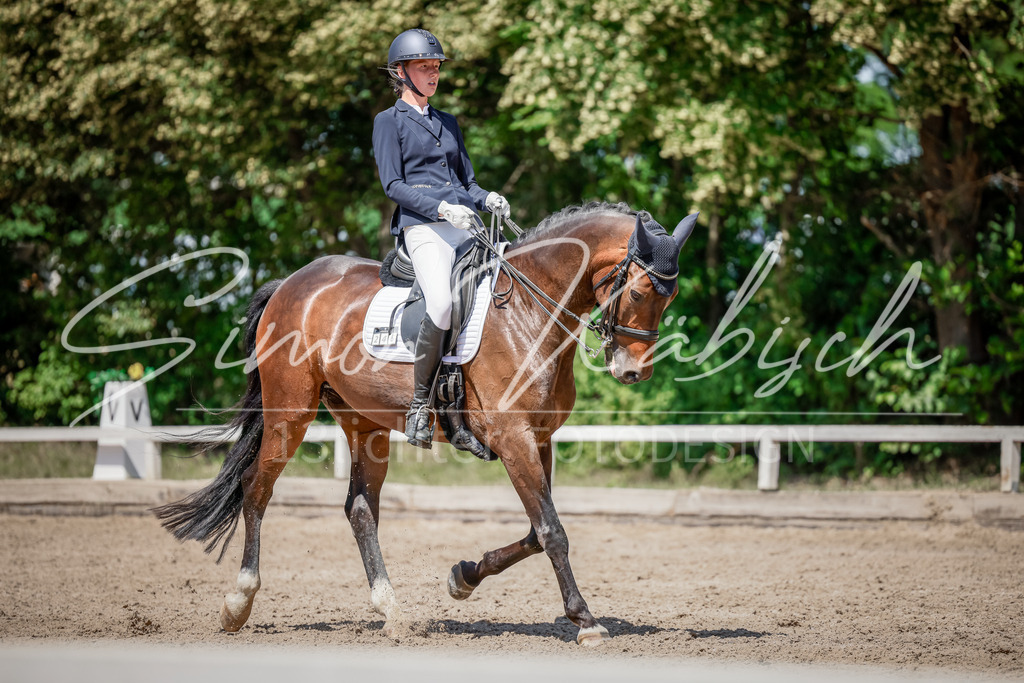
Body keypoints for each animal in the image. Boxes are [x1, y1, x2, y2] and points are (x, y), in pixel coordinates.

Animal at [154, 201, 696, 646]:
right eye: (641, 292)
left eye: (668, 298)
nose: (632, 372)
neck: (527, 309)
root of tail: (290, 283)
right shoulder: (515, 439)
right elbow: (551, 531)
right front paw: (585, 620)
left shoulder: (539, 440)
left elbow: (535, 529)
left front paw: (464, 576)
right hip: (290, 412)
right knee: (257, 488)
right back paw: (238, 603)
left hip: (364, 424)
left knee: (360, 509)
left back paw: (392, 611)